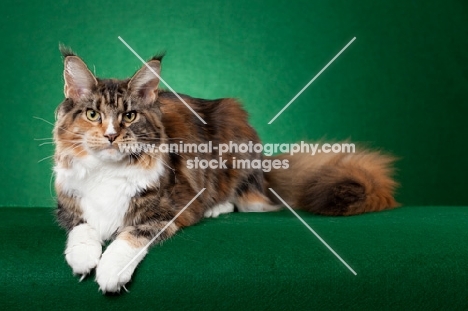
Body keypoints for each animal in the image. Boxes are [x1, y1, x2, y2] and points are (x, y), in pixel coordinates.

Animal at [54, 47, 396, 294]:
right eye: (93, 114)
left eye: (129, 116)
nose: (111, 136)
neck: (106, 171)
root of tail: (263, 170)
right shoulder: (68, 205)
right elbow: (82, 228)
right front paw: (83, 258)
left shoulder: (172, 207)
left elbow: (131, 235)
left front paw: (110, 271)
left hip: (233, 144)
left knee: (239, 200)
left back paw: (215, 207)